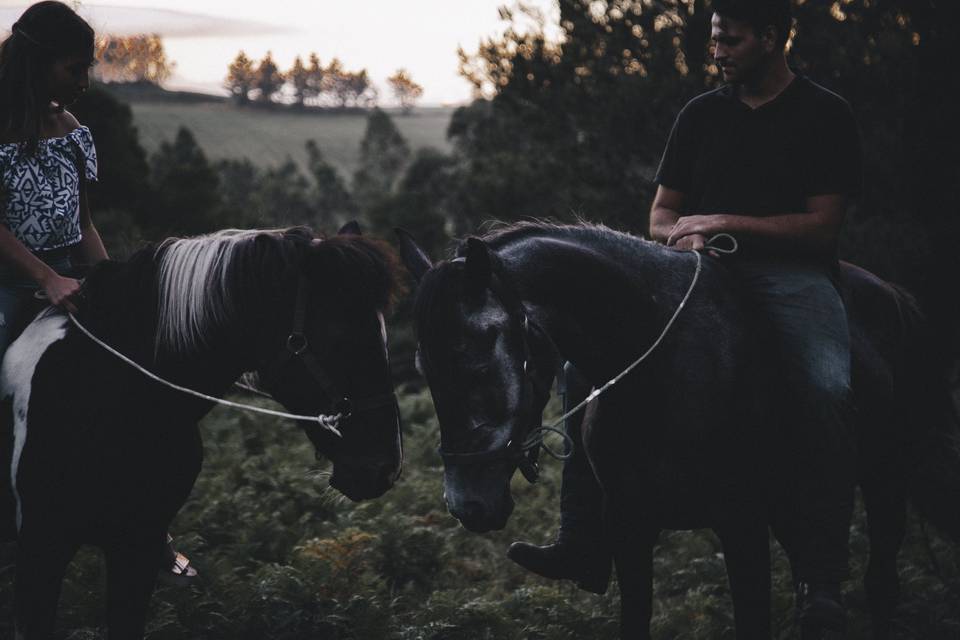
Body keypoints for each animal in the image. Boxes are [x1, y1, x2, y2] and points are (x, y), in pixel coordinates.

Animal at [400, 224, 960, 640]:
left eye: (477, 359)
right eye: (424, 368)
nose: (467, 506)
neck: (666, 367)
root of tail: (893, 295)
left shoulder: (741, 523)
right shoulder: (629, 525)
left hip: (885, 482)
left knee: (880, 584)